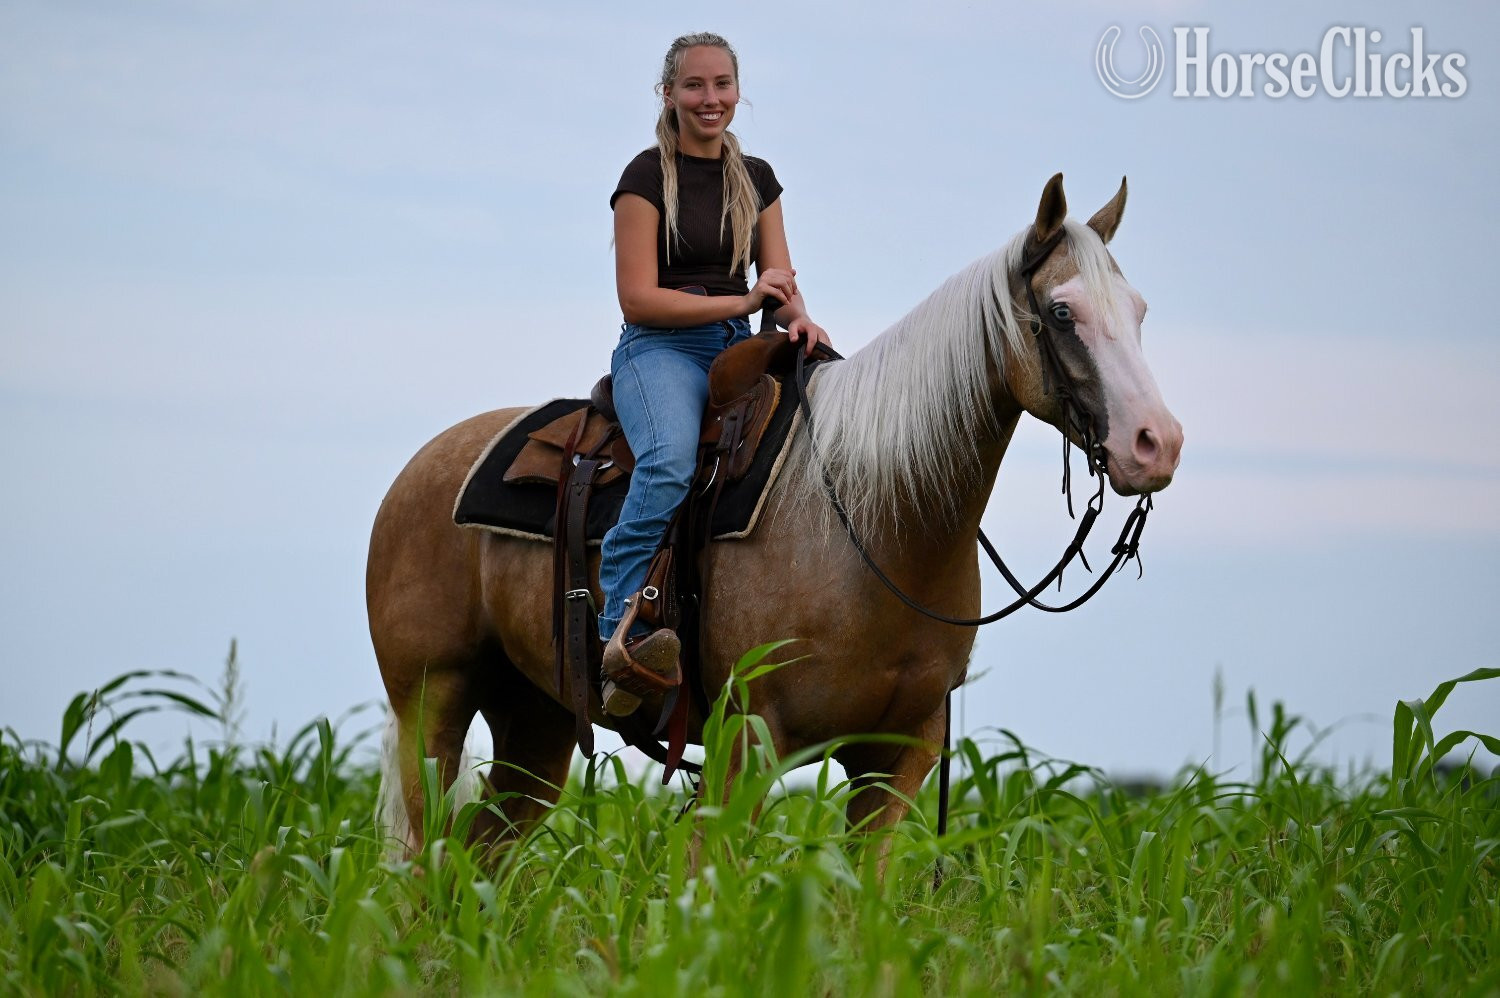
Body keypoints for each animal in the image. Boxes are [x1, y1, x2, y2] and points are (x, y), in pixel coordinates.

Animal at [369, 173, 1183, 858]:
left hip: (535, 720)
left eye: (1142, 311)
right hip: (432, 703)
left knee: (478, 856)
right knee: (423, 852)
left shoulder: (900, 754)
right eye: (1061, 312)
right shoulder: (748, 739)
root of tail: (420, 468)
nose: (1158, 442)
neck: (874, 520)